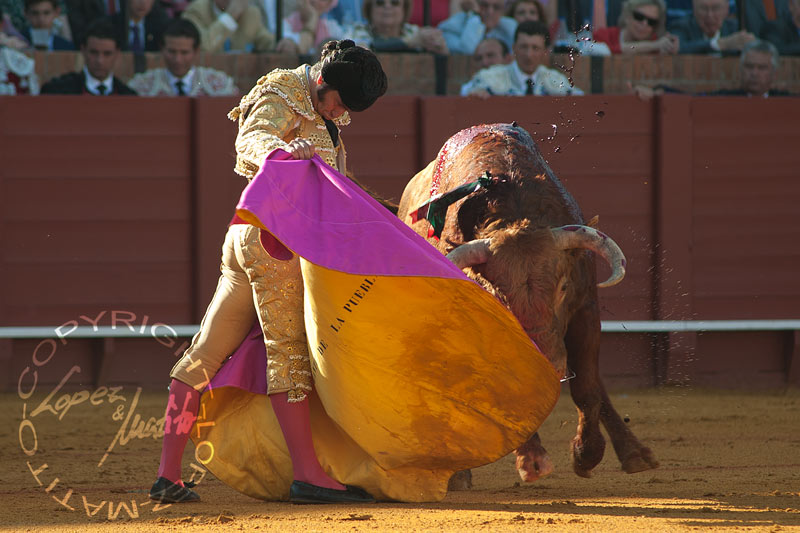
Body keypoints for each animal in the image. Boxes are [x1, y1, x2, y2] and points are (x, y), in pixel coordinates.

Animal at [396, 122, 660, 484]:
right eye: (499, 297)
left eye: (563, 287)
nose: (550, 363)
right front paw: (533, 460)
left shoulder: (585, 309)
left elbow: (587, 387)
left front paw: (586, 454)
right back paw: (459, 473)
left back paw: (635, 454)